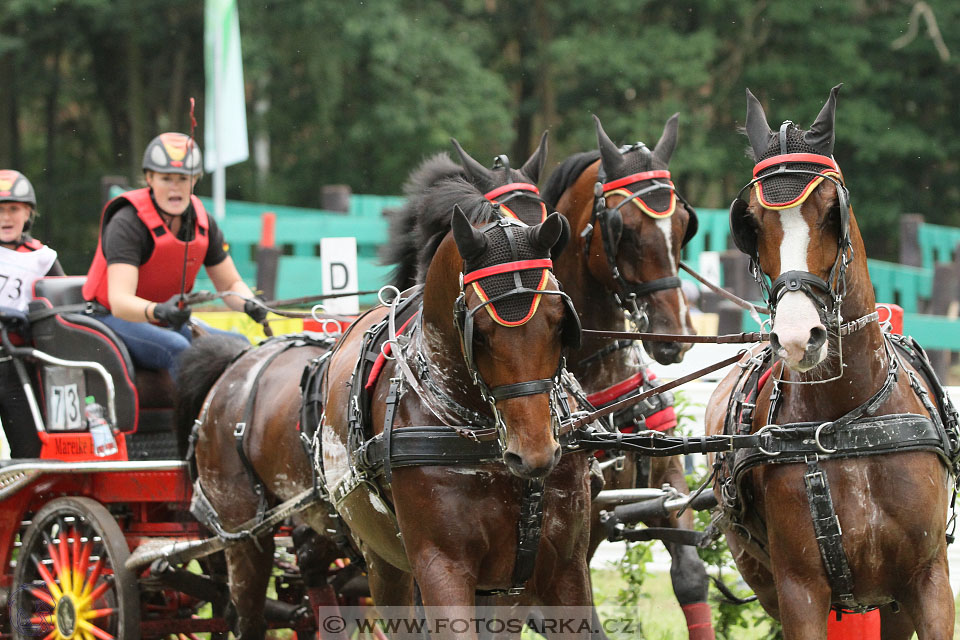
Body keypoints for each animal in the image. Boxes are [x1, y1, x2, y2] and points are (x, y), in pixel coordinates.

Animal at [326, 161, 596, 636]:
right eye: (480, 334)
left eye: (558, 321)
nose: (535, 455)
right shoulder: (442, 566)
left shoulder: (565, 566)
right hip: (384, 563)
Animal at [700, 85, 956, 640]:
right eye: (752, 223)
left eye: (829, 210)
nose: (798, 337)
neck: (846, 422)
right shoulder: (800, 591)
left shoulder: (927, 583)